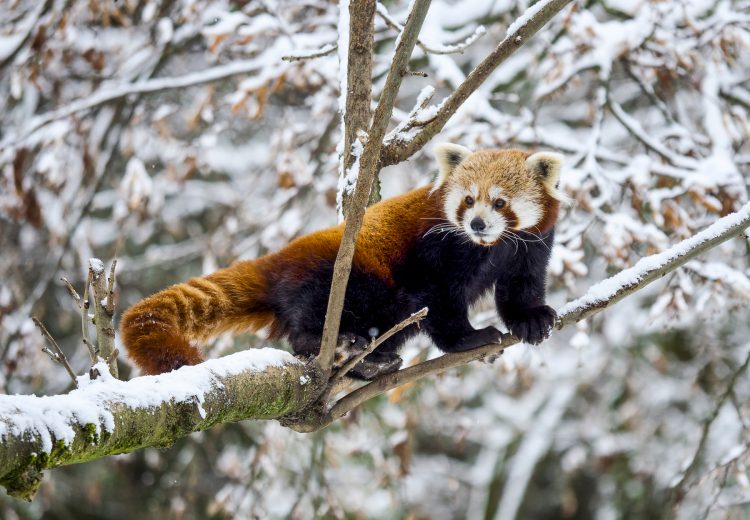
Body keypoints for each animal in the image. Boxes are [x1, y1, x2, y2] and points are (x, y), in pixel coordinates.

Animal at [120, 143, 564, 378]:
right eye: (469, 199)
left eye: (499, 202)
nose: (476, 223)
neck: (489, 246)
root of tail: (278, 259)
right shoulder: (434, 249)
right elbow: (439, 302)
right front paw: (469, 338)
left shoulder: (531, 244)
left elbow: (519, 287)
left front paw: (530, 319)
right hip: (343, 276)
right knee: (321, 313)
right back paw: (330, 343)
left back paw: (372, 361)